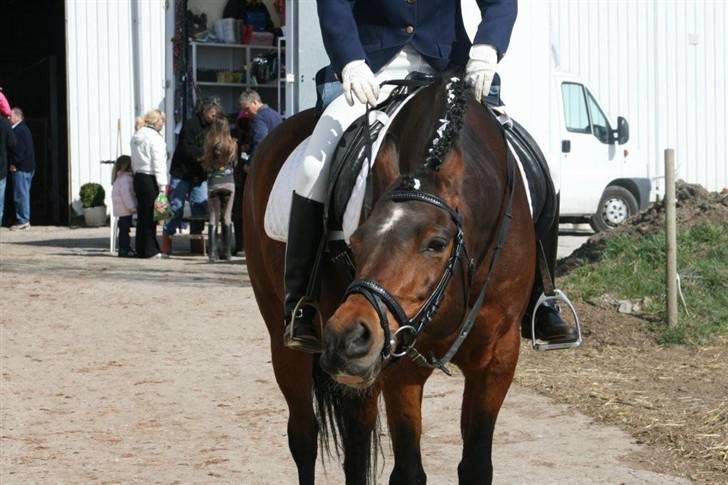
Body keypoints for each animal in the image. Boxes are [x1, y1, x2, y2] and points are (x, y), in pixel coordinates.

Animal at [242, 75, 536, 485]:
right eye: (356, 240)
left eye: (436, 243)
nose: (346, 336)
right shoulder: (402, 363)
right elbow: (408, 470)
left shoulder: (498, 358)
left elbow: (476, 466)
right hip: (286, 340)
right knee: (304, 436)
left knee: (356, 443)